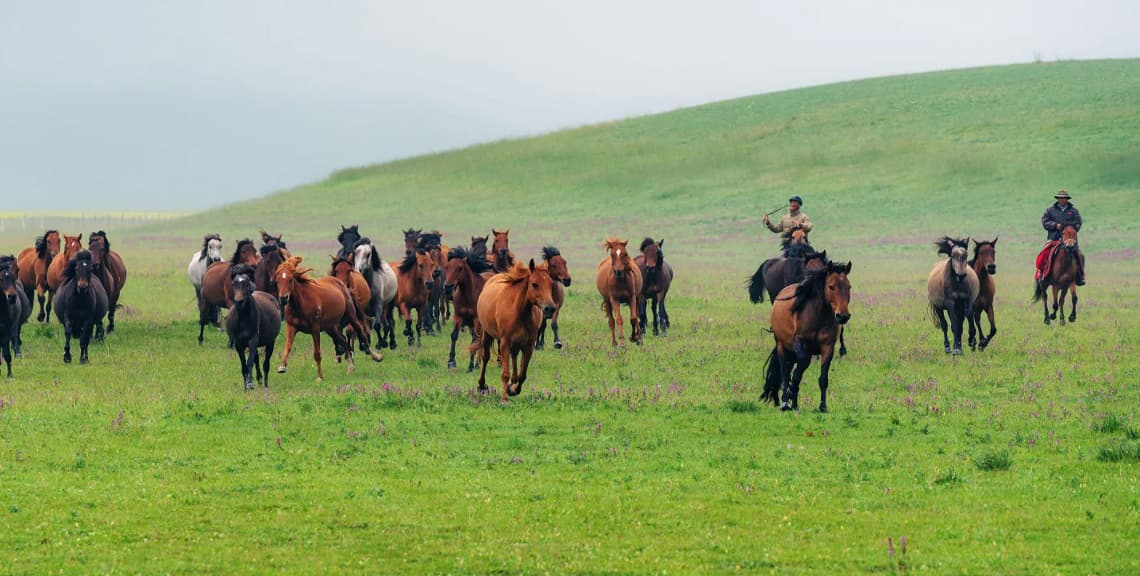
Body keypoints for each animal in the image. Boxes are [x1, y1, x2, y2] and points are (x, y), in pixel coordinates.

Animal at [471, 259, 557, 401]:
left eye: (550, 284)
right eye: (534, 284)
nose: (550, 308)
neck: (519, 310)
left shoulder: (528, 346)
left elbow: (523, 374)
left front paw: (513, 389)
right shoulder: (505, 343)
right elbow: (505, 373)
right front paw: (504, 398)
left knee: (514, 356)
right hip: (487, 334)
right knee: (485, 357)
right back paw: (482, 386)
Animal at [761, 260, 852, 412]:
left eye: (849, 286)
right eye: (831, 286)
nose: (843, 316)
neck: (818, 316)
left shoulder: (827, 347)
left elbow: (823, 379)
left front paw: (823, 407)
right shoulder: (800, 343)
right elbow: (799, 368)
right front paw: (790, 392)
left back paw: (794, 404)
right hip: (782, 346)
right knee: (785, 371)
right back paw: (786, 402)